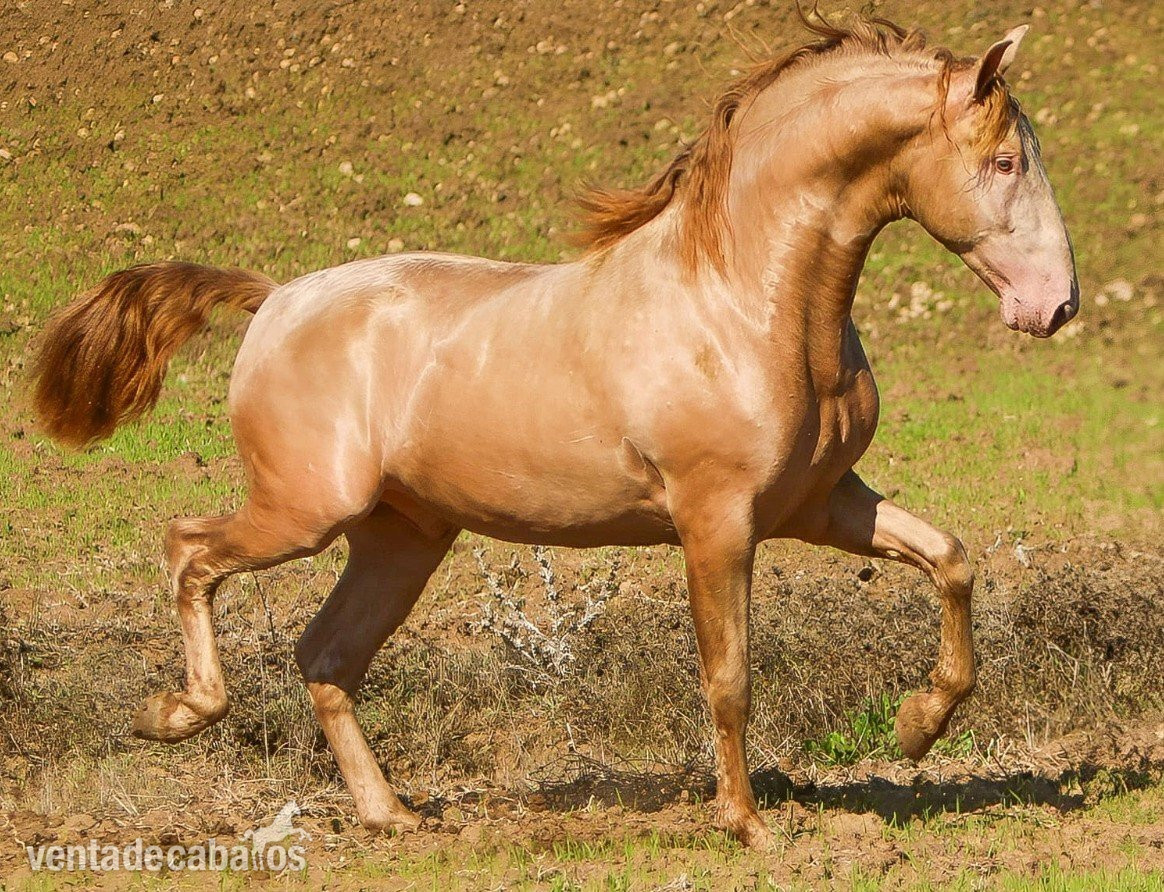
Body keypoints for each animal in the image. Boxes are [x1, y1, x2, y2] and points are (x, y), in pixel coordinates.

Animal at [30, 13, 1078, 848]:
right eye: (1004, 161)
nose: (1056, 306)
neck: (743, 299)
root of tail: (277, 297)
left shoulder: (822, 504)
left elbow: (951, 560)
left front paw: (917, 725)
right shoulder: (717, 522)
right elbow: (729, 675)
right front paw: (746, 825)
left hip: (401, 538)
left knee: (326, 654)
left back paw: (390, 815)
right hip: (304, 510)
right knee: (190, 550)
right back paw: (177, 715)